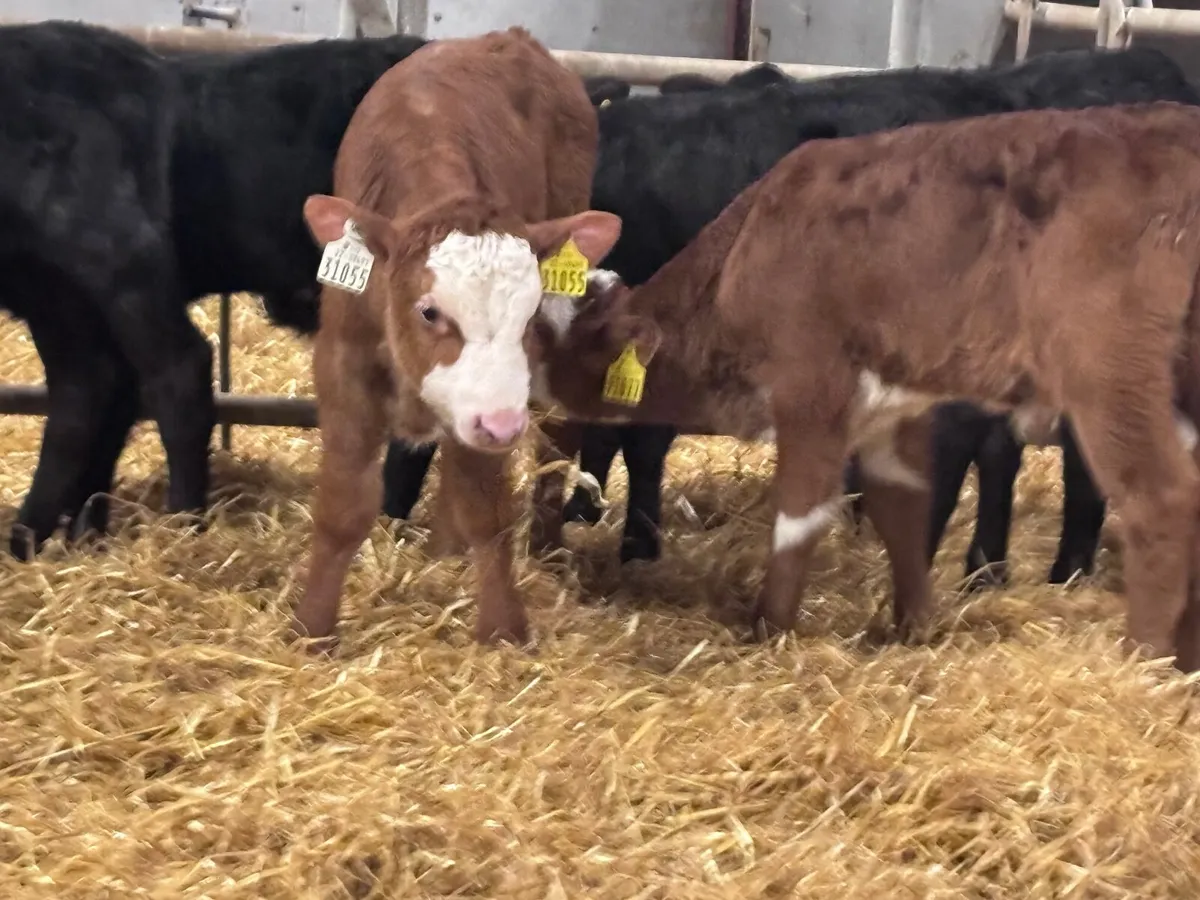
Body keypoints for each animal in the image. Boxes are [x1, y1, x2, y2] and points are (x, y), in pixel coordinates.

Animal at [291, 28, 620, 649]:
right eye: (428, 311)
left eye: (529, 314)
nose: (502, 426)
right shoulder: (343, 365)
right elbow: (343, 508)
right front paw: (312, 626)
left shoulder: (492, 404)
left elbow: (486, 508)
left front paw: (504, 628)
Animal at [531, 101, 1200, 673]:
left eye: (540, 332)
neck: (741, 257)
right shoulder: (891, 409)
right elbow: (900, 507)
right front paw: (914, 627)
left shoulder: (812, 391)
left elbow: (798, 518)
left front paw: (767, 629)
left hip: (1110, 373)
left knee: (1162, 501)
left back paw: (1143, 664)